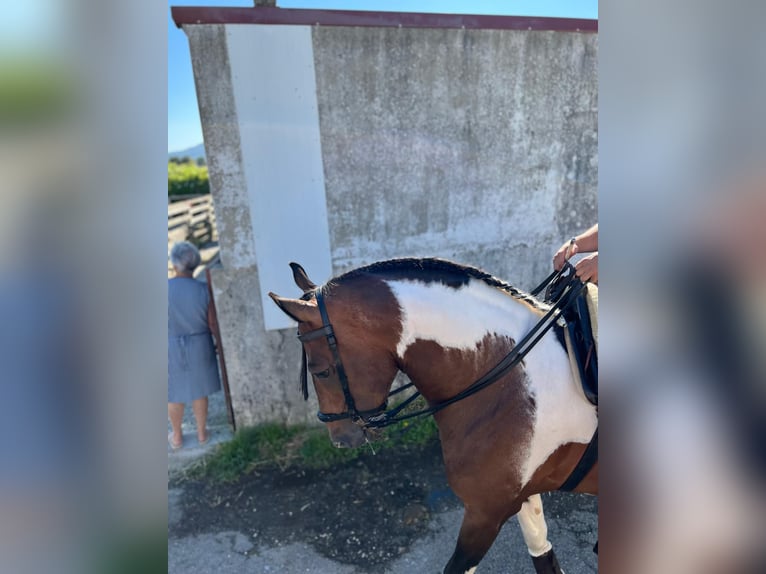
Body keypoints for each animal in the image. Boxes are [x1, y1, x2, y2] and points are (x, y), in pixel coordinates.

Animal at [269, 258, 597, 574]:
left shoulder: (486, 512)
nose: (340, 438)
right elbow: (542, 552)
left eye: (320, 371)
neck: (513, 378)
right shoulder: (520, 494)